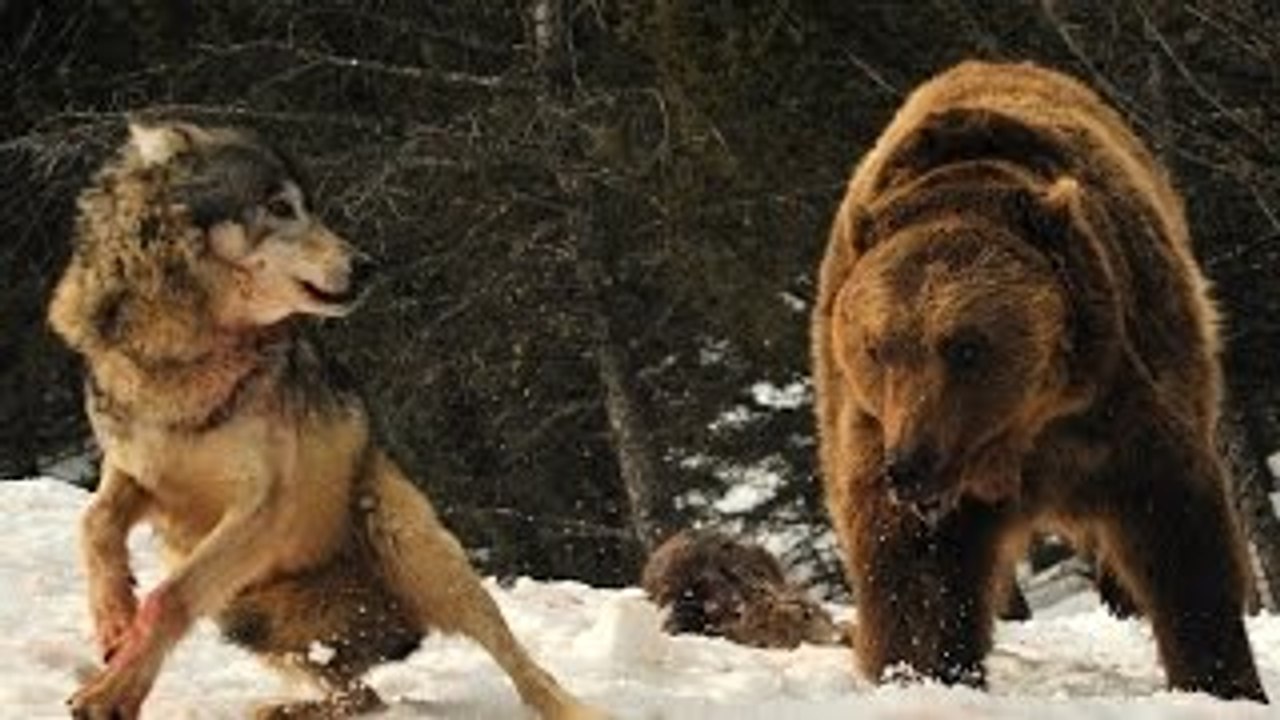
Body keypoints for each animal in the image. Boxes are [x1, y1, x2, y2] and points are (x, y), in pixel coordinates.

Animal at [48, 121, 604, 719]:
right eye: (280, 206)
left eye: (309, 208)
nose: (367, 266)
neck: (184, 353)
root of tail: (394, 625)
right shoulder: (136, 473)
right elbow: (95, 525)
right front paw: (113, 619)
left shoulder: (264, 505)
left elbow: (169, 597)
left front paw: (112, 692)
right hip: (248, 615)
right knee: (362, 693)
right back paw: (281, 709)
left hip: (416, 550)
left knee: (518, 664)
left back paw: (572, 708)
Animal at [811, 60, 1266, 702]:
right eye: (878, 348)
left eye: (966, 346)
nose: (911, 464)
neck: (1022, 428)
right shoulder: (875, 428)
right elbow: (915, 569)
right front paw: (920, 673)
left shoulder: (1126, 398)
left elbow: (1179, 536)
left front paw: (1222, 681)